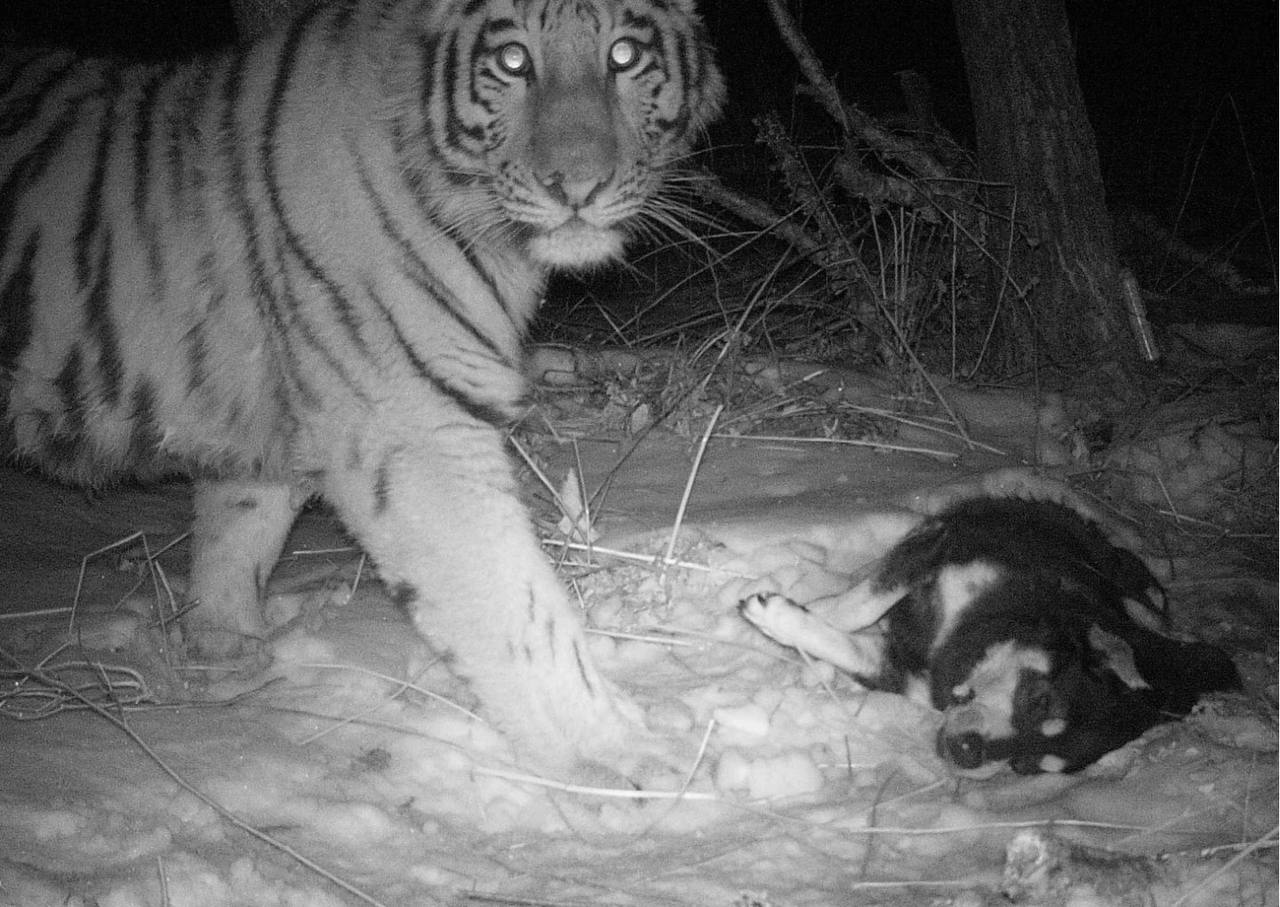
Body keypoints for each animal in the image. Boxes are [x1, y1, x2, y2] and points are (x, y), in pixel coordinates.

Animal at [0, 0, 721, 772]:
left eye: (623, 55)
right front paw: (621, 751)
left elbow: (237, 538)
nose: (578, 186)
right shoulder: (406, 423)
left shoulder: (277, 417)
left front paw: (230, 661)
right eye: (513, 61)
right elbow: (516, 603)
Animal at [742, 498, 1239, 772]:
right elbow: (859, 604)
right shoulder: (939, 550)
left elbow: (845, 643)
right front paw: (790, 613)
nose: (967, 754)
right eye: (1039, 700)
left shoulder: (907, 676)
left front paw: (792, 626)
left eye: (1025, 765)